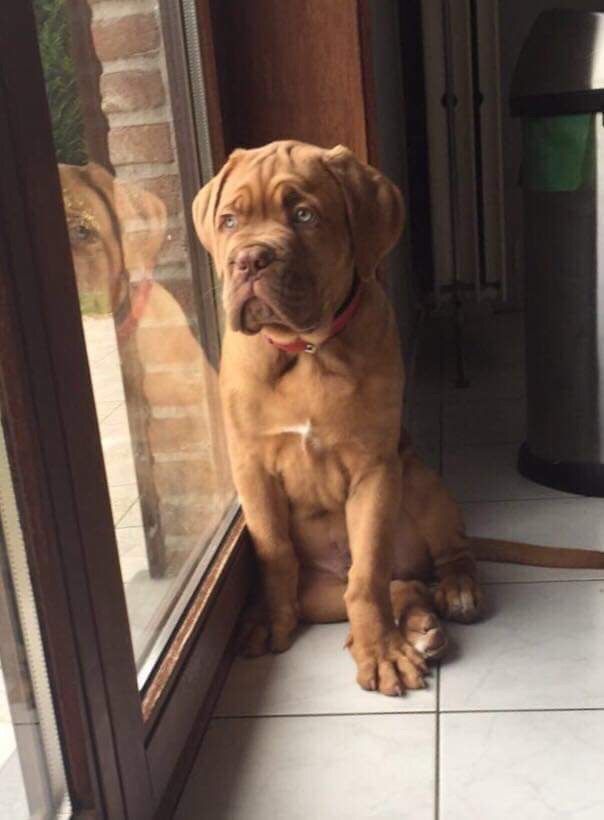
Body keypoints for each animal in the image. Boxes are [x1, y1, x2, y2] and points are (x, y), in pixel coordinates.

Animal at [192, 140, 604, 696]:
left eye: (304, 216)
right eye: (230, 220)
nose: (250, 259)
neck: (307, 349)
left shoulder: (375, 468)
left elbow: (367, 576)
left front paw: (381, 653)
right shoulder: (252, 469)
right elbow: (275, 552)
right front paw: (271, 621)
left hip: (418, 477)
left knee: (433, 560)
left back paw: (454, 595)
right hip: (320, 593)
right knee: (400, 584)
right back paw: (420, 626)